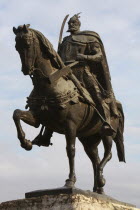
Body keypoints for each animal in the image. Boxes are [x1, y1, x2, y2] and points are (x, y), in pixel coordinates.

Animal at [12, 24, 125, 194]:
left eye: (27, 43)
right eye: (16, 47)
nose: (26, 70)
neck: (50, 83)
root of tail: (116, 106)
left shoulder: (70, 125)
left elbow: (70, 150)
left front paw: (70, 181)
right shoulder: (38, 118)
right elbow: (17, 114)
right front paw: (26, 142)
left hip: (107, 134)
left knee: (108, 154)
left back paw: (101, 180)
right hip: (89, 140)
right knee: (95, 159)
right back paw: (97, 189)